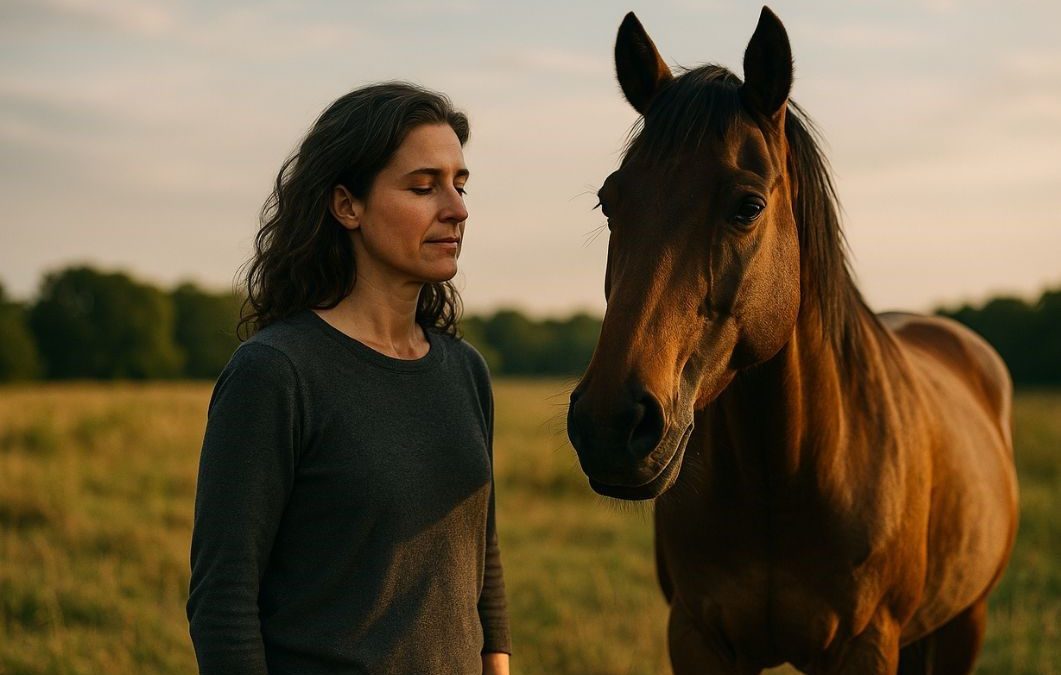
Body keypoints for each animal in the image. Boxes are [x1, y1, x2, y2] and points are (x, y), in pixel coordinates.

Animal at [565, 8, 1018, 674]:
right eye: (608, 200)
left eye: (748, 206)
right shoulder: (697, 637)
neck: (782, 473)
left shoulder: (866, 645)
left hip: (966, 623)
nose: (609, 425)